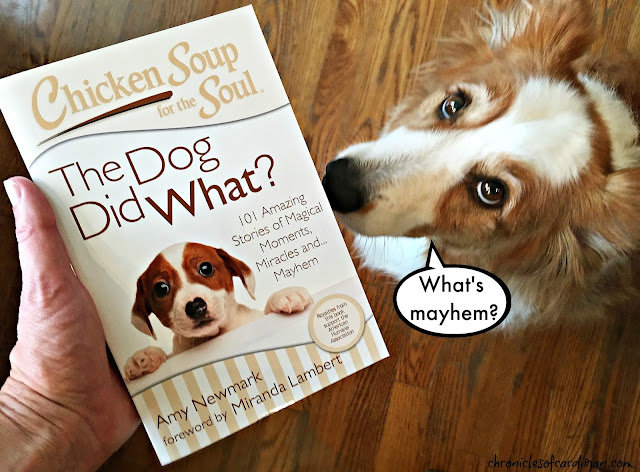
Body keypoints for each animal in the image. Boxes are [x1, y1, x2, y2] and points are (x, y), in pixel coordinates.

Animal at [123, 243, 312, 380]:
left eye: (205, 268)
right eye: (161, 288)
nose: (195, 306)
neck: (216, 335)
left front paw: (285, 295)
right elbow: (168, 357)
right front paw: (145, 357)